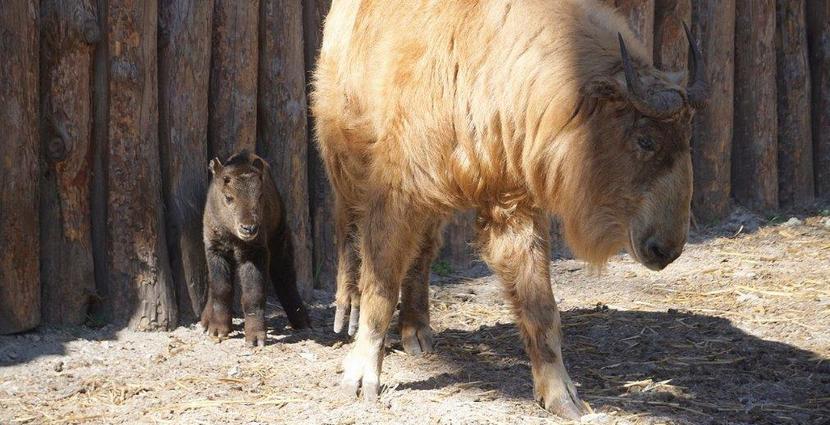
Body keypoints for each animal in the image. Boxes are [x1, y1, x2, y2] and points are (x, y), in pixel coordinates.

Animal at [202, 149, 312, 344]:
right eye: (228, 197)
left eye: (260, 196)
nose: (249, 228)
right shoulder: (215, 250)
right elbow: (221, 288)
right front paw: (218, 330)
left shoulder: (255, 253)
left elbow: (253, 294)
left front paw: (255, 337)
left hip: (279, 241)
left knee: (285, 277)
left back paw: (302, 321)